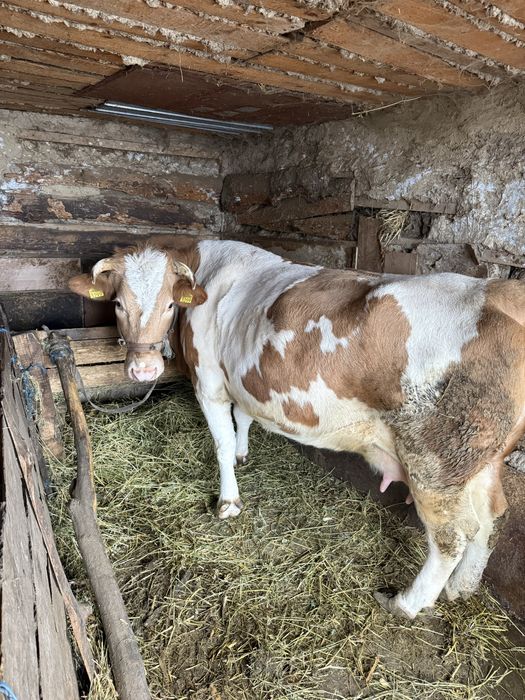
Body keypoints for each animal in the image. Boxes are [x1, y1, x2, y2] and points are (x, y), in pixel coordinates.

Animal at [68, 240, 525, 619]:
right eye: (118, 304)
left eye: (168, 306)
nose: (143, 369)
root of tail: (497, 291)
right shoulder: (243, 378)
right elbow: (244, 419)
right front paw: (243, 452)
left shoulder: (210, 382)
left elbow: (221, 441)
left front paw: (228, 501)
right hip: (482, 459)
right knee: (491, 516)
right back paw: (463, 588)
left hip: (435, 461)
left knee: (451, 537)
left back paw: (406, 603)